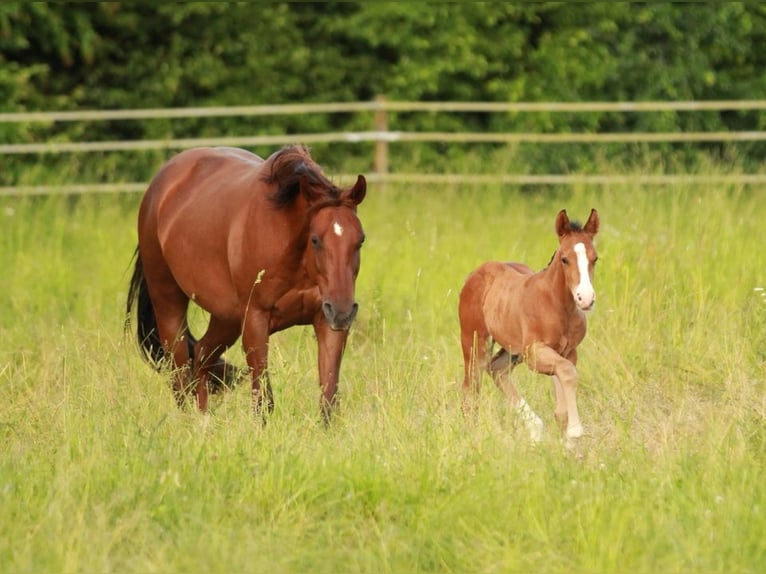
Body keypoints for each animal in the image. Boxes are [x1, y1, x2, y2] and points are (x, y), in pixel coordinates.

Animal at [125, 145, 366, 424]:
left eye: (360, 240)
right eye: (315, 240)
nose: (342, 312)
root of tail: (158, 189)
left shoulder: (325, 321)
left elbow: (328, 401)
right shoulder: (255, 321)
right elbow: (263, 401)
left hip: (226, 317)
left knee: (202, 357)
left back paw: (205, 421)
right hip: (169, 302)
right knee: (180, 370)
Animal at [460, 209, 604, 444]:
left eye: (595, 259)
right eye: (564, 259)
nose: (586, 298)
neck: (557, 305)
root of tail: (476, 272)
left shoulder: (567, 352)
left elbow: (562, 399)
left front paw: (568, 443)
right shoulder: (534, 352)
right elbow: (568, 372)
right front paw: (575, 431)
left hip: (512, 349)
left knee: (496, 369)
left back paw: (535, 429)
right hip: (475, 342)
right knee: (471, 389)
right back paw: (472, 435)